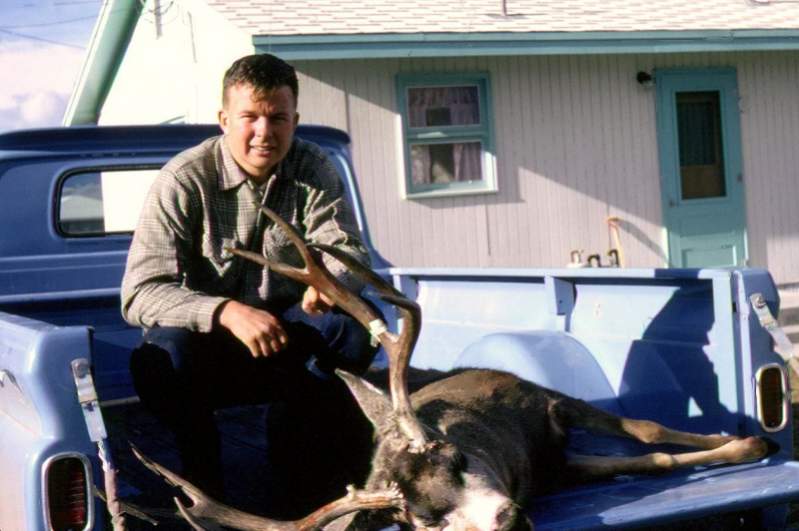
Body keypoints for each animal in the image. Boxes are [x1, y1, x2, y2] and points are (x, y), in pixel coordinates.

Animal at [136, 208, 776, 531]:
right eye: (424, 521)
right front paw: (744, 445)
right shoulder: (552, 471)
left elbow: (648, 436)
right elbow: (645, 456)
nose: (505, 517)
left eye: (457, 458)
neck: (513, 452)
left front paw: (748, 442)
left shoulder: (539, 399)